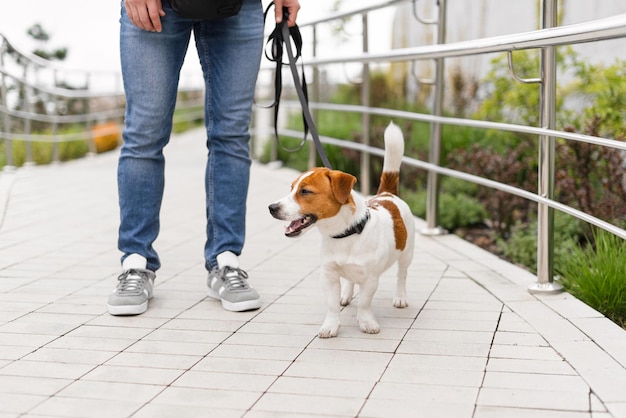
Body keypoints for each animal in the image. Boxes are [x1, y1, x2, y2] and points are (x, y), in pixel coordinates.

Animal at [266, 122, 412, 338]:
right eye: (291, 188)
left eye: (305, 191)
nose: (271, 208)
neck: (344, 234)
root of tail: (387, 194)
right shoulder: (328, 275)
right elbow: (332, 305)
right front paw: (331, 325)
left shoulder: (370, 279)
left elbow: (365, 303)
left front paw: (366, 322)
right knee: (350, 280)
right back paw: (346, 295)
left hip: (406, 254)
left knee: (402, 275)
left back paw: (400, 297)